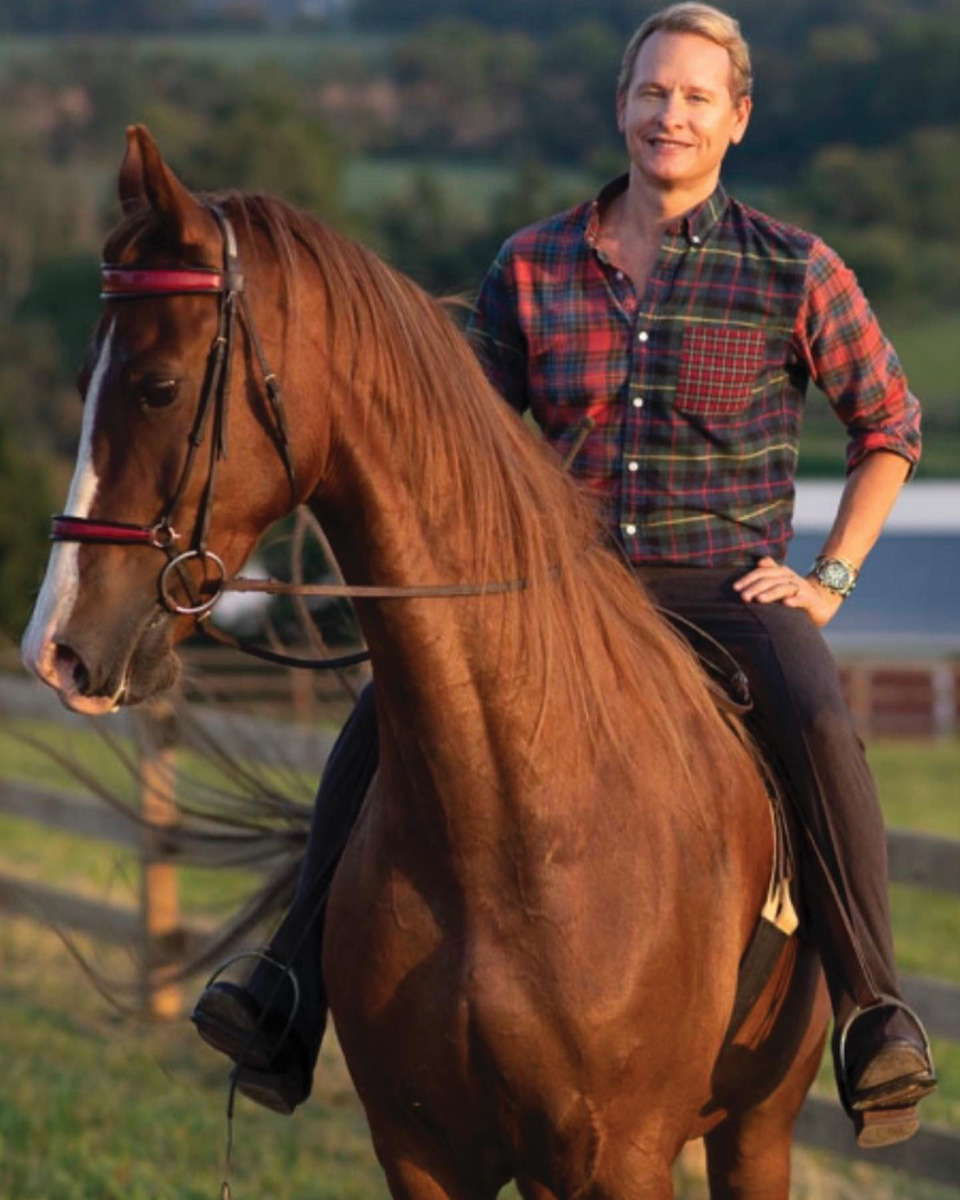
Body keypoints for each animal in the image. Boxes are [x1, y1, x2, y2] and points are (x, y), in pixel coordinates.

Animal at [26, 126, 830, 1195]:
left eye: (158, 387)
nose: (59, 648)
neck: (520, 814)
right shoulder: (423, 1152)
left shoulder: (622, 1156)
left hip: (757, 1128)